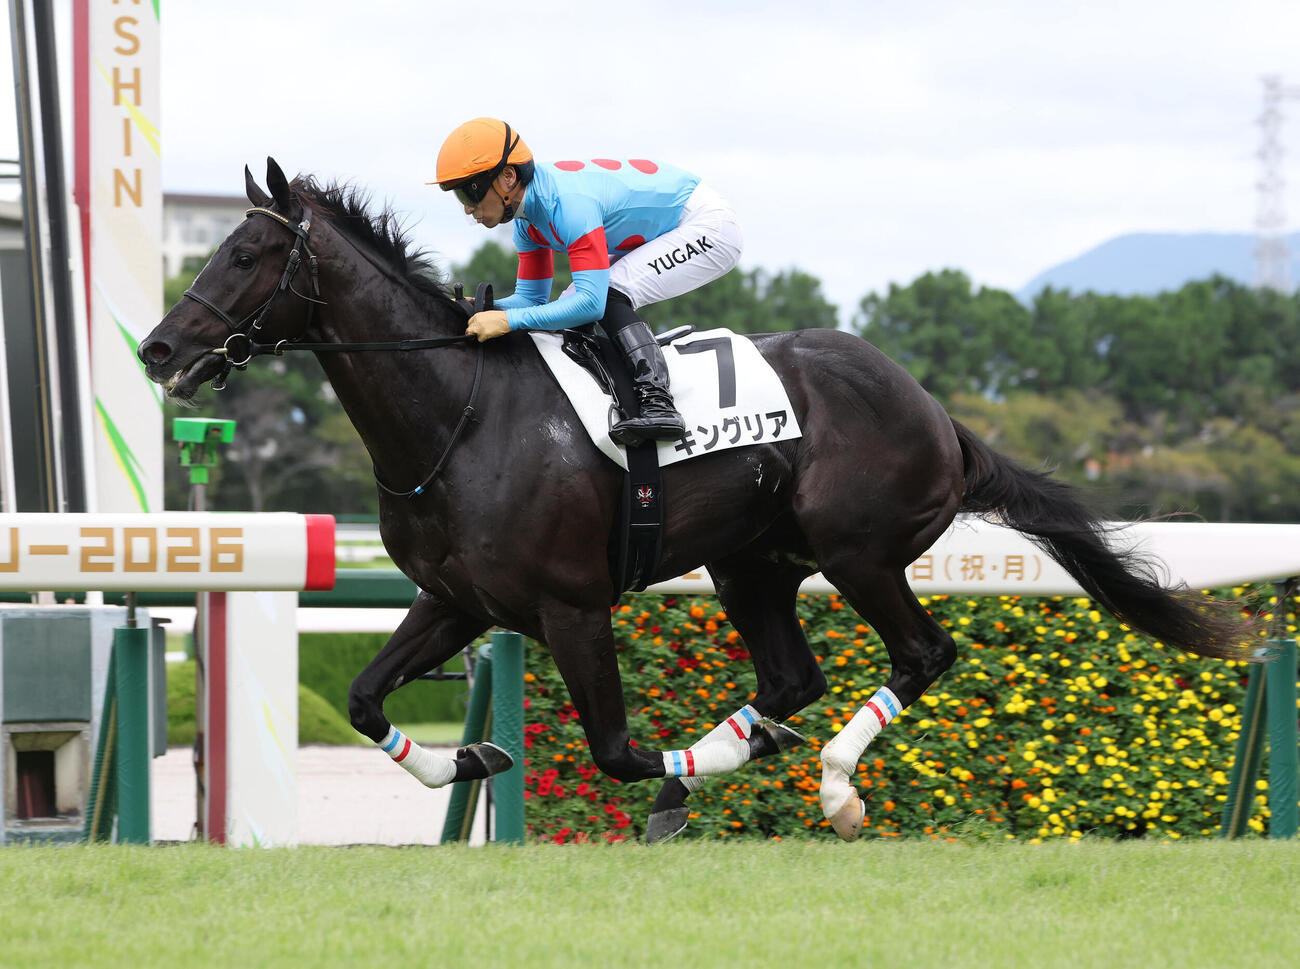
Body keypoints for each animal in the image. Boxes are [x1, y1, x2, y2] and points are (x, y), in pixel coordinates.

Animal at [139, 159, 1255, 843]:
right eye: (217, 247)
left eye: (245, 254)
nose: (157, 348)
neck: (461, 414)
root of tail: (937, 411)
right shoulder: (455, 599)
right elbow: (369, 699)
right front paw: (467, 758)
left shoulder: (571, 605)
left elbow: (615, 748)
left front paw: (672, 775)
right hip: (750, 561)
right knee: (794, 676)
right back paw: (751, 741)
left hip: (857, 552)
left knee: (922, 653)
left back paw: (833, 785)